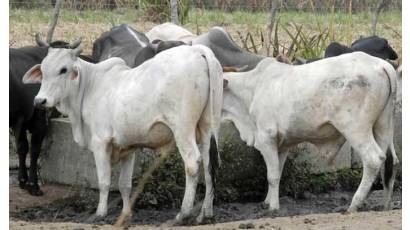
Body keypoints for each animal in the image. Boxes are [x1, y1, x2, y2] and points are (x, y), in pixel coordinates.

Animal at [9, 36, 91, 195]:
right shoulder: (35, 120)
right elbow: (32, 149)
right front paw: (32, 184)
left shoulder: (22, 120)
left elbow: (24, 148)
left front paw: (24, 181)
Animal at [22, 43, 223, 223]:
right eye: (43, 70)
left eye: (63, 69)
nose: (40, 101)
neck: (90, 86)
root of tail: (198, 50)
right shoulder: (129, 147)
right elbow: (124, 184)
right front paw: (127, 213)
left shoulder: (100, 143)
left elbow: (104, 181)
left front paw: (100, 213)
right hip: (207, 127)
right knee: (208, 165)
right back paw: (205, 214)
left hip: (182, 129)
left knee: (192, 163)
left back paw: (184, 213)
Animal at [223, 51, 398, 212]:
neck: (252, 89)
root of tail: (381, 64)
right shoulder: (282, 144)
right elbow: (277, 172)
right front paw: (267, 201)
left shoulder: (267, 138)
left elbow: (271, 176)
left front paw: (273, 208)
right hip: (383, 125)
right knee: (389, 161)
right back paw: (384, 205)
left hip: (355, 128)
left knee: (374, 159)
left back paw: (354, 204)